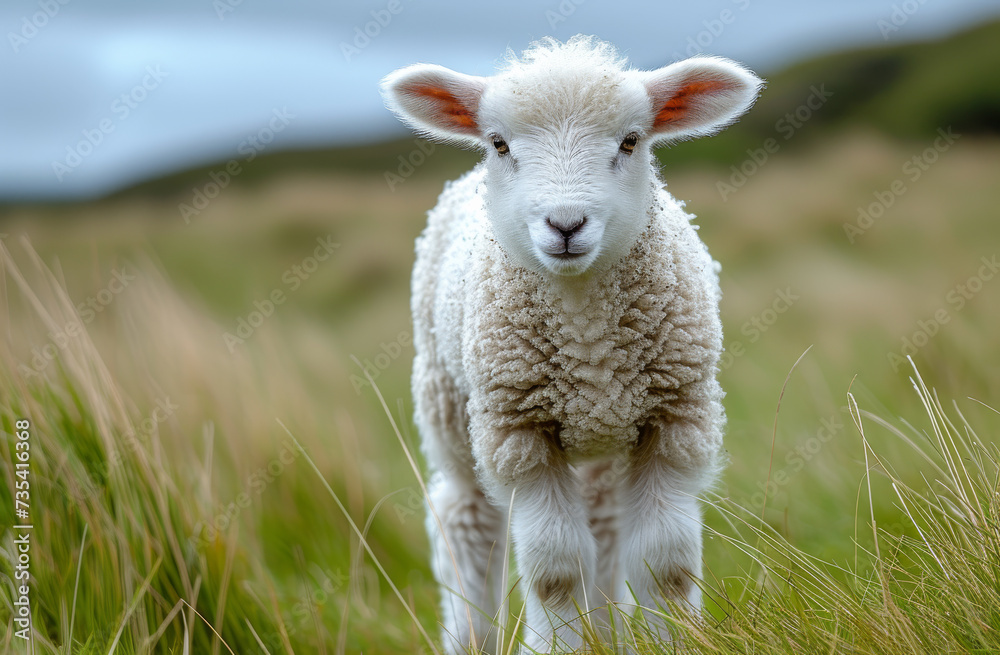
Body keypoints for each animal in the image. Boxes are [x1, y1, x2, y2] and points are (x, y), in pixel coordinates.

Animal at [381, 35, 762, 653]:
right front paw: (558, 643)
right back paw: (473, 632)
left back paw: (605, 630)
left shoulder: (674, 420)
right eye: (500, 143)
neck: (586, 332)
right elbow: (555, 570)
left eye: (631, 140)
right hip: (448, 405)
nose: (565, 224)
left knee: (604, 528)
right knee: (467, 523)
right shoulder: (520, 432)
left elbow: (665, 563)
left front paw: (673, 640)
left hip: (603, 439)